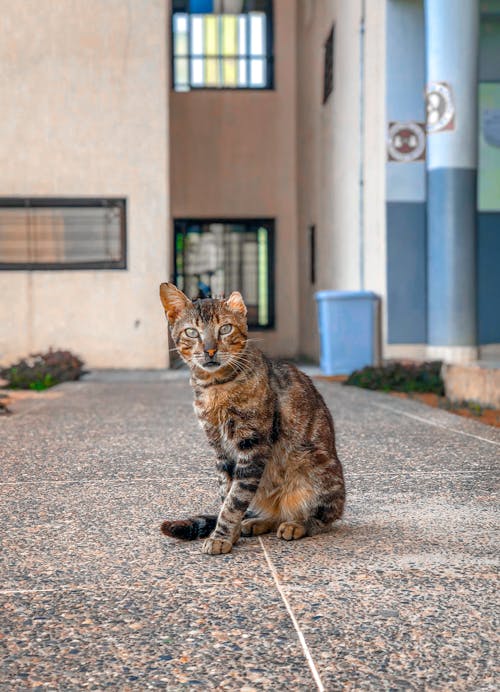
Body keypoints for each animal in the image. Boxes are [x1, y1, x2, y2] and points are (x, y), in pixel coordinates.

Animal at [159, 284, 344, 556]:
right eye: (192, 332)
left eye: (225, 328)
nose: (210, 350)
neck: (214, 387)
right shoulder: (221, 450)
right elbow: (227, 493)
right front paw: (231, 534)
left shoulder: (252, 445)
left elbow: (234, 500)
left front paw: (222, 536)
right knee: (271, 515)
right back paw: (256, 522)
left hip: (317, 471)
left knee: (322, 518)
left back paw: (296, 524)